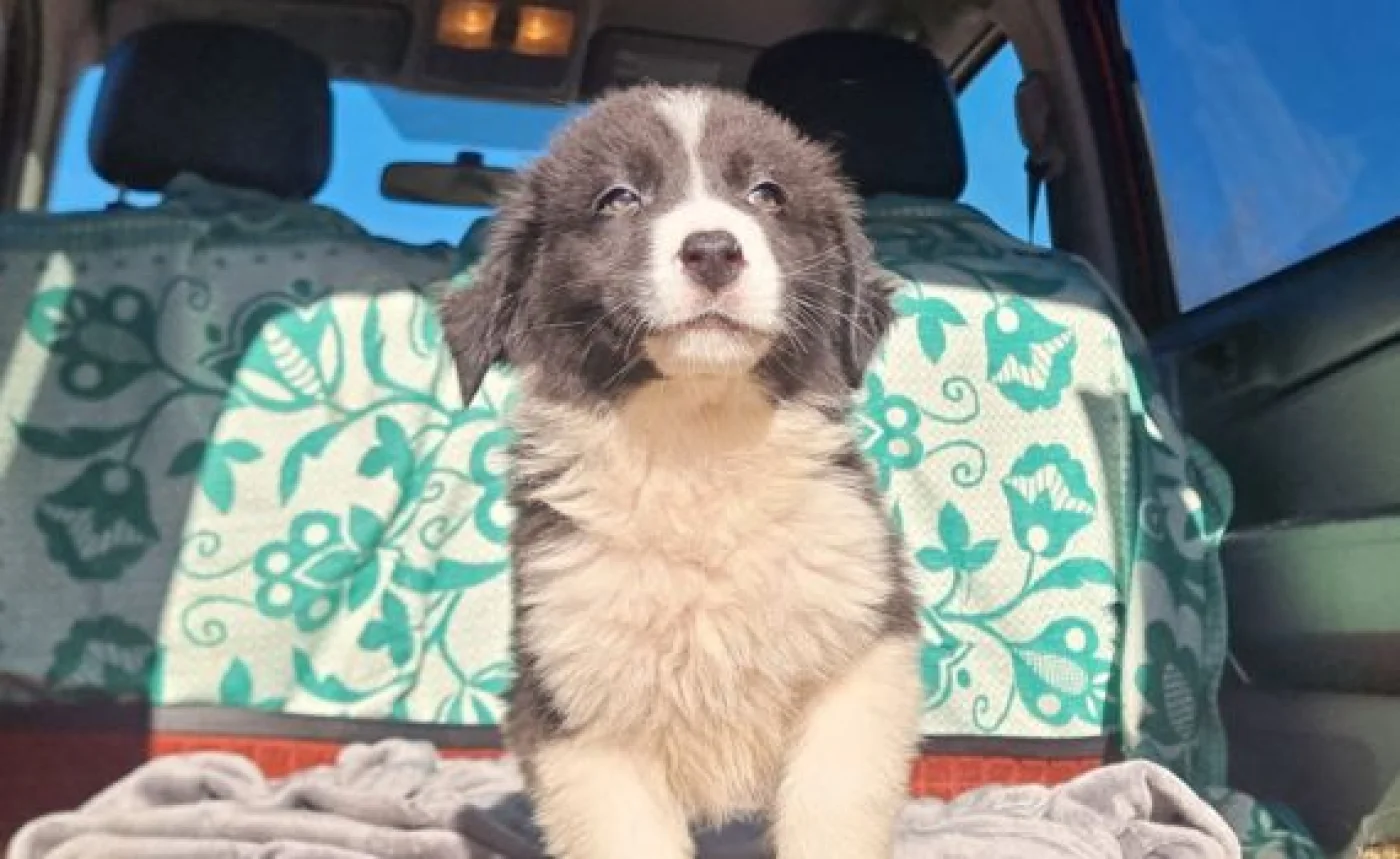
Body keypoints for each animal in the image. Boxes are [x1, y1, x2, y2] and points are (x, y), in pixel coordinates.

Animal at [441, 85, 921, 859]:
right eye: (618, 198)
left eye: (766, 193)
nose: (714, 250)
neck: (697, 439)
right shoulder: (580, 708)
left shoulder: (860, 651)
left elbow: (833, 804)